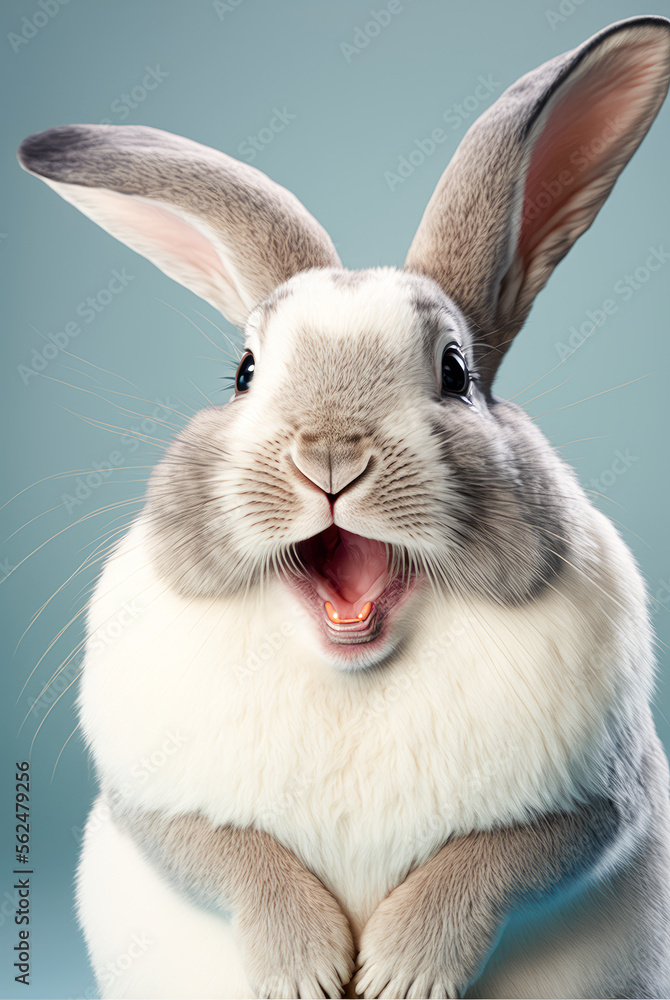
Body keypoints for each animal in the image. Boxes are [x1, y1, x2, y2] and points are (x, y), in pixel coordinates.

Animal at [17, 13, 670, 1000]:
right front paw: (309, 971)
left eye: (456, 372)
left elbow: (500, 858)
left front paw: (401, 970)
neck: (353, 669)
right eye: (245, 373)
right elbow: (227, 853)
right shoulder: (150, 802)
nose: (329, 455)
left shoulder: (606, 802)